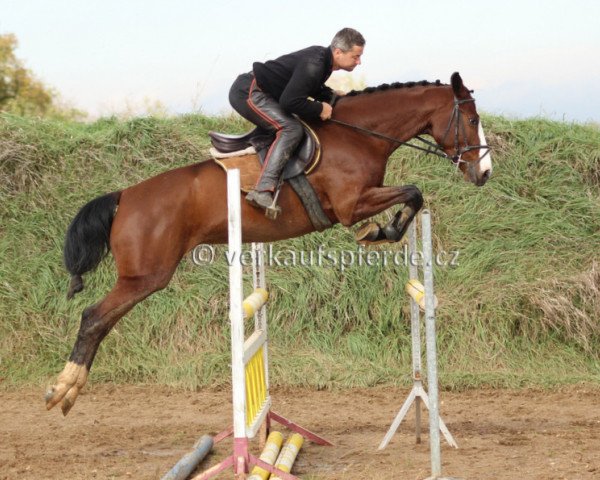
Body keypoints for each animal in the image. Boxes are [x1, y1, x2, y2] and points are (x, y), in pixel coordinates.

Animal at [43, 70, 492, 412]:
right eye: (471, 120)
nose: (484, 173)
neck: (358, 136)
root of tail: (125, 197)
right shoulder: (351, 205)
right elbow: (413, 193)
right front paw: (380, 231)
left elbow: (413, 196)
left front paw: (383, 230)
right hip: (145, 276)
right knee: (94, 318)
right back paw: (64, 389)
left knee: (99, 319)